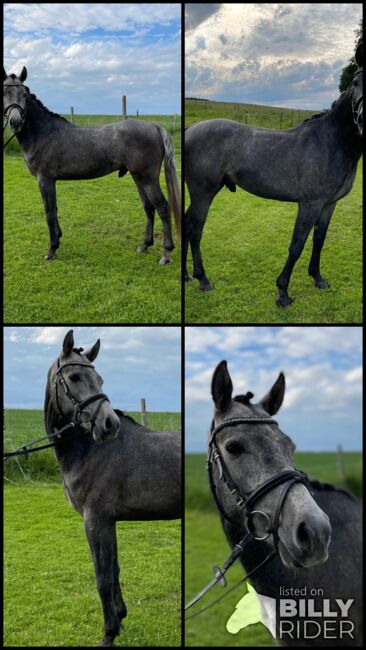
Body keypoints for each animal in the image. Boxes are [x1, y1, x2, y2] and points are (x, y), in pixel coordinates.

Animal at [2, 67, 180, 264]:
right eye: (3, 92)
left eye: (24, 94)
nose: (15, 122)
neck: (43, 132)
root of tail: (154, 126)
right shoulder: (49, 181)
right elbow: (54, 210)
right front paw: (58, 237)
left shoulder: (45, 180)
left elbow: (49, 212)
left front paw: (52, 249)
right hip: (138, 177)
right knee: (149, 208)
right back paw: (145, 245)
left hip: (147, 178)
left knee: (162, 207)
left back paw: (166, 253)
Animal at [43, 332, 181, 644]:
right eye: (75, 376)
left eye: (100, 379)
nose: (110, 424)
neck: (89, 450)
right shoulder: (108, 521)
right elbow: (114, 570)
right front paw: (120, 617)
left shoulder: (95, 521)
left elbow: (102, 578)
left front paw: (109, 633)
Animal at [186, 39, 364, 306]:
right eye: (355, 82)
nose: (363, 119)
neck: (332, 141)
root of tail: (190, 130)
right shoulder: (310, 204)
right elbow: (296, 244)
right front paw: (283, 293)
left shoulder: (328, 204)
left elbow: (319, 240)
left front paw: (318, 278)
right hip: (203, 194)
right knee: (195, 230)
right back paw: (203, 280)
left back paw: (187, 275)